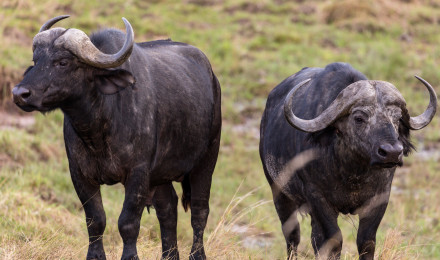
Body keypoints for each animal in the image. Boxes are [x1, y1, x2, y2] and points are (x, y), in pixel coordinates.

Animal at [12, 15, 222, 260]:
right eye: (35, 60)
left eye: (63, 62)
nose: (20, 94)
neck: (99, 130)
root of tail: (212, 78)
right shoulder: (80, 174)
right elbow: (95, 220)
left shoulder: (138, 173)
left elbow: (128, 222)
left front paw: (130, 256)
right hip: (161, 174)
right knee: (168, 209)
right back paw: (169, 255)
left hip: (207, 159)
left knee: (199, 210)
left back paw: (197, 254)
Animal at [260, 62, 434, 258]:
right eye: (359, 118)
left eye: (397, 119)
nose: (391, 152)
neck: (352, 173)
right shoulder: (317, 198)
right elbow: (334, 240)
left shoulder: (380, 197)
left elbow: (366, 241)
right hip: (279, 192)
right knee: (292, 236)